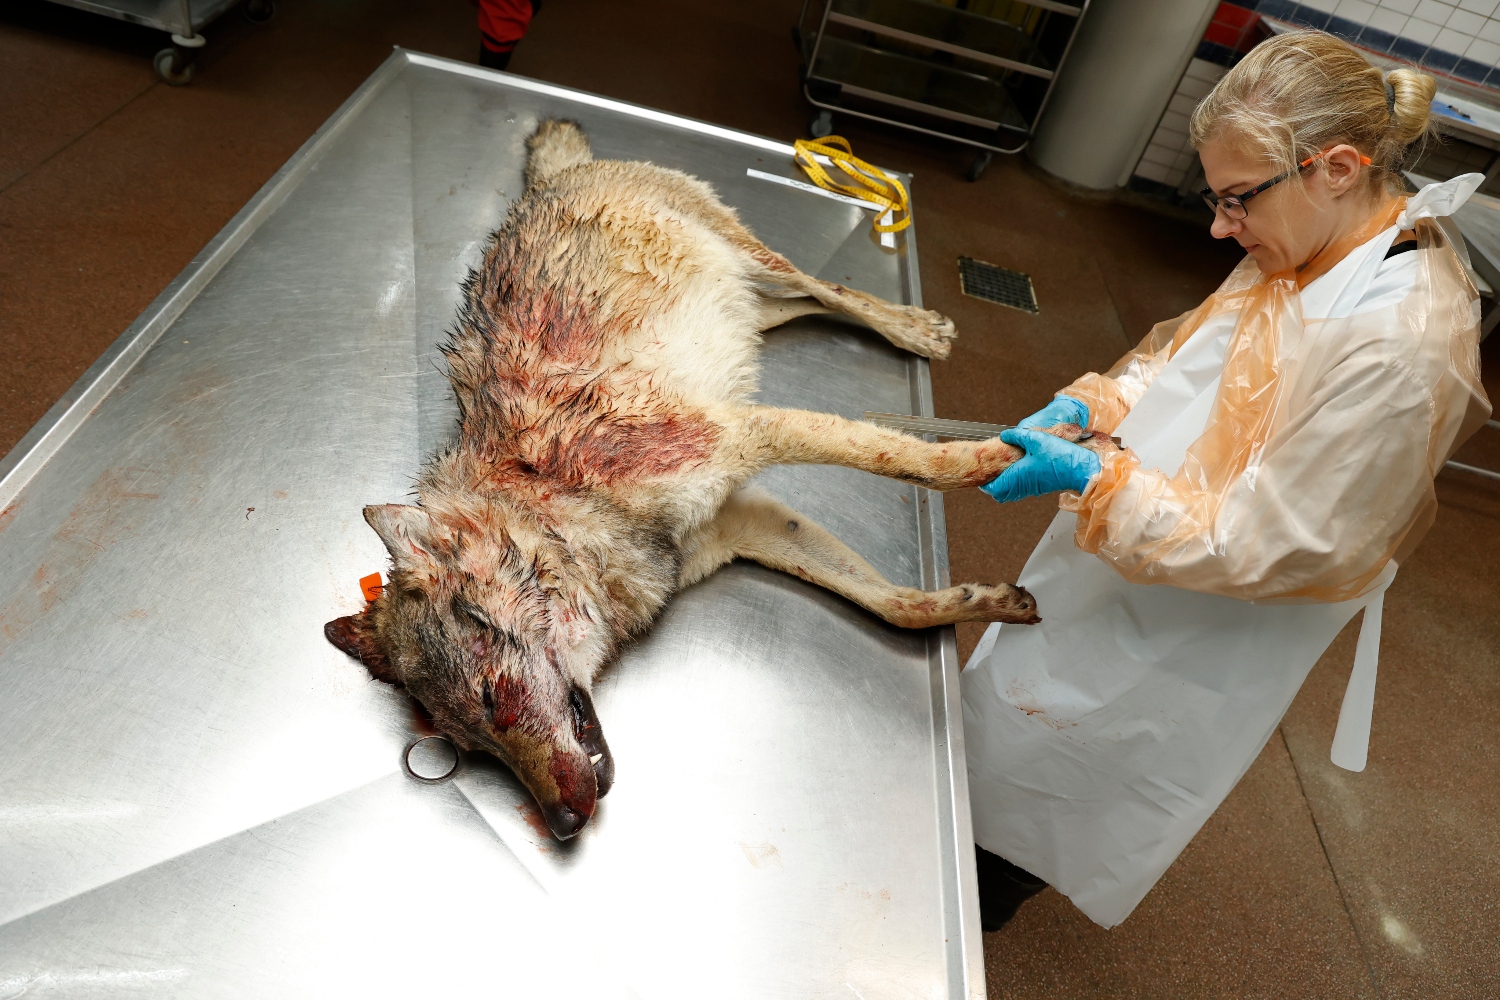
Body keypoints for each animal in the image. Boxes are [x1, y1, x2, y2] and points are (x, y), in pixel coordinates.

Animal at [325, 121, 1116, 839]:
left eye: (493, 698)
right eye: (472, 751)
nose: (562, 824)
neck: (573, 508)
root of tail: (550, 180)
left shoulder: (745, 433)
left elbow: (914, 461)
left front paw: (1021, 457)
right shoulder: (748, 523)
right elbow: (892, 606)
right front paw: (981, 600)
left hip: (755, 261)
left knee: (833, 288)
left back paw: (918, 330)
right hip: (754, 305)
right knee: (811, 303)